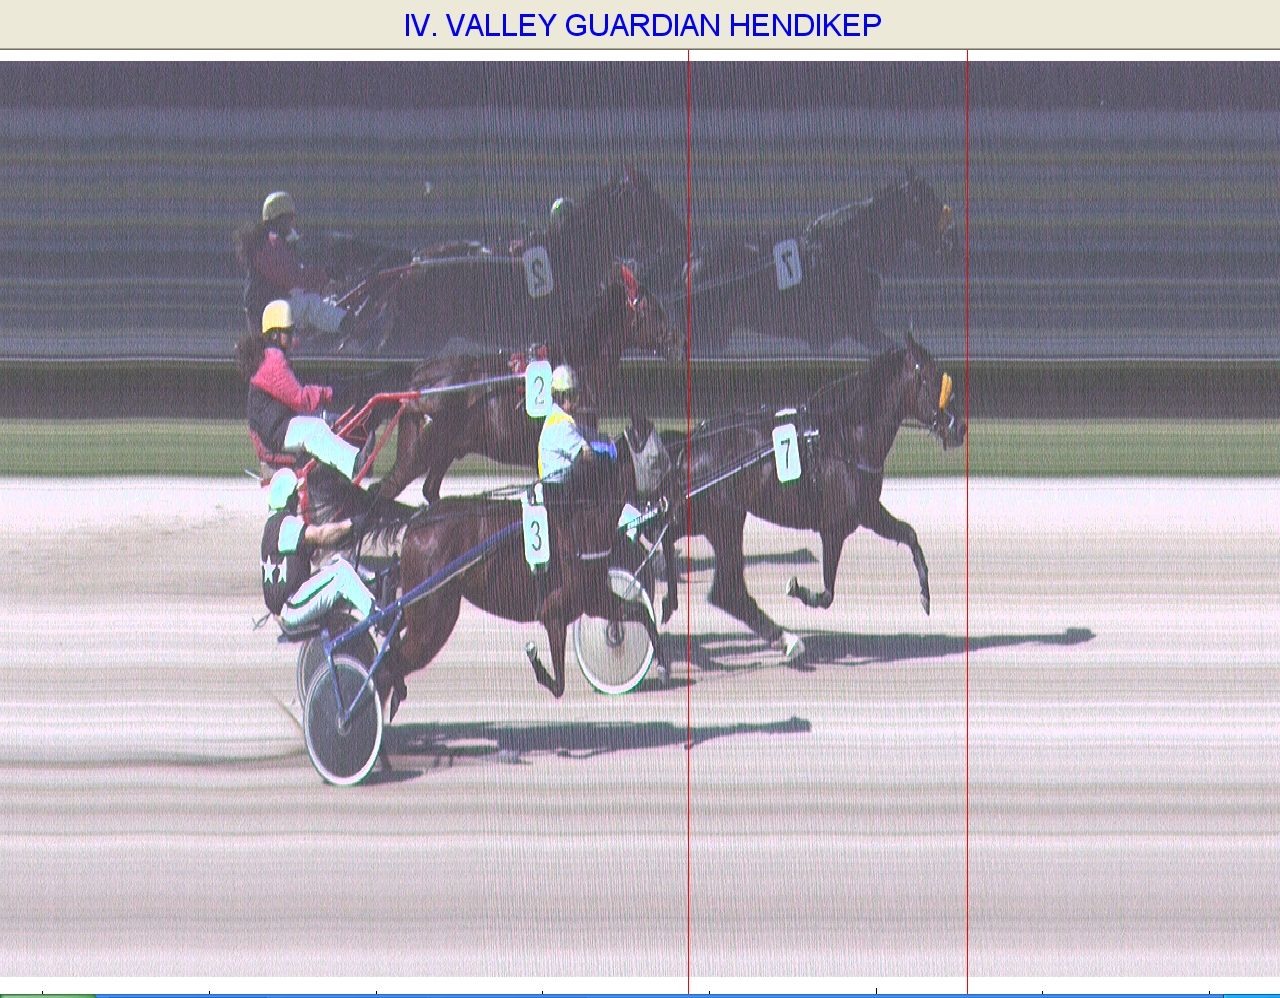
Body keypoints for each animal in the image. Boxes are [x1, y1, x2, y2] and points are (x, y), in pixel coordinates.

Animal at [375, 265, 681, 505]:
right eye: (654, 310)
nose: (677, 342)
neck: (576, 363)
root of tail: (422, 377)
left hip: (443, 448)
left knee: (428, 490)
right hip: (427, 446)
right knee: (388, 487)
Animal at [382, 455, 668, 715]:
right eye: (660, 464)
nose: (666, 508)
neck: (578, 525)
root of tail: (416, 522)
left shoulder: (593, 600)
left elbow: (640, 613)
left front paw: (662, 666)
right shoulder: (554, 613)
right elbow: (558, 684)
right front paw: (534, 658)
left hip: (420, 607)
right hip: (433, 619)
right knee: (394, 659)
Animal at [658, 333, 965, 658]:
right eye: (934, 378)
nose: (960, 427)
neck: (848, 440)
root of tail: (690, 442)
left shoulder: (867, 512)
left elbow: (909, 535)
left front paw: (925, 595)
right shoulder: (835, 527)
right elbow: (827, 594)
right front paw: (798, 590)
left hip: (705, 518)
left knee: (677, 544)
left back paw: (669, 597)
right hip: (724, 520)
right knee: (727, 590)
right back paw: (786, 639)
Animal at [677, 169, 956, 354]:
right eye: (926, 203)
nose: (950, 244)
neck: (850, 247)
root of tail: (693, 259)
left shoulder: (831, 335)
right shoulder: (856, 325)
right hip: (708, 334)